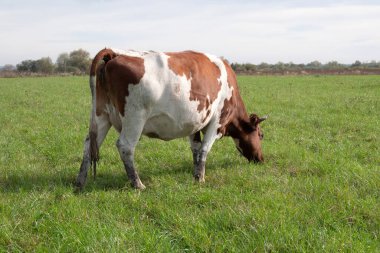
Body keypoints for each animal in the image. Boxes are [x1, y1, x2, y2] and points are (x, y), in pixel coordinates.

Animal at [75, 48, 268, 189]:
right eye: (261, 135)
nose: (261, 159)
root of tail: (114, 53)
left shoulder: (194, 122)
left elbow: (196, 148)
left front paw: (194, 172)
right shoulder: (217, 121)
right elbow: (205, 149)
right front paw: (200, 178)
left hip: (101, 116)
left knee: (89, 145)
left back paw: (80, 182)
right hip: (134, 118)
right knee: (125, 147)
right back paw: (138, 184)